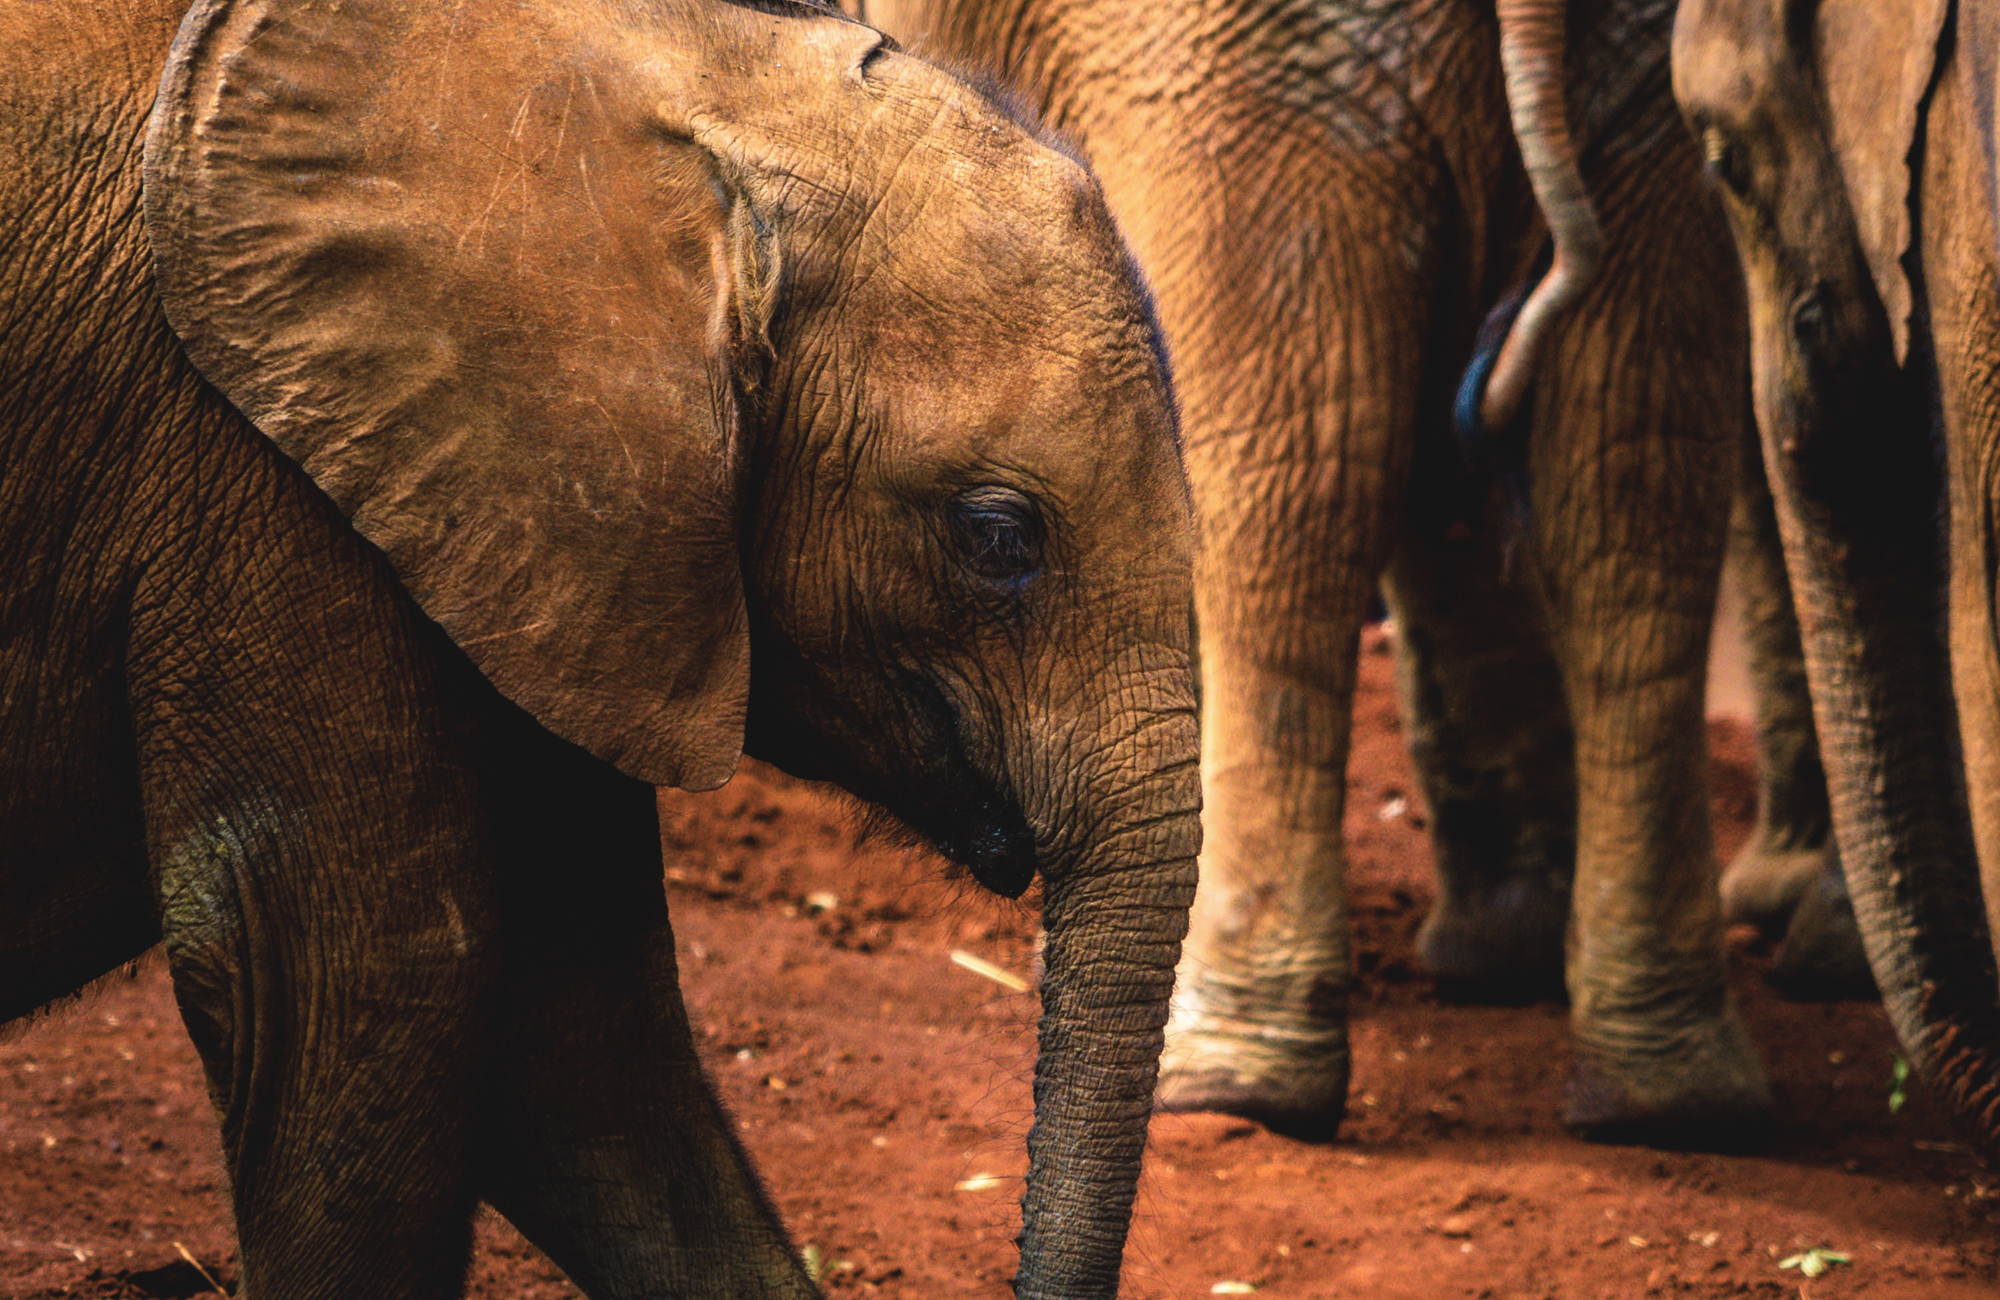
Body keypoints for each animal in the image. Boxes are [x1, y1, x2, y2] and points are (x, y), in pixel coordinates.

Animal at [0, 0, 1201, 1294]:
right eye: (995, 536)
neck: (689, 75)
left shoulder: (549, 535)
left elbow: (577, 1035)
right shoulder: (270, 478)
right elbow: (367, 978)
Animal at [863, 0, 1838, 1144]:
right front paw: (1499, 954)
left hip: (1238, 77)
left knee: (1294, 485)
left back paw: (1230, 1078)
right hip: (1623, 90)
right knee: (1630, 469)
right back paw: (1666, 1099)